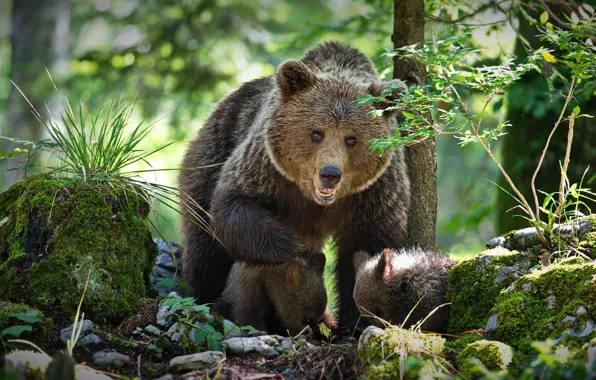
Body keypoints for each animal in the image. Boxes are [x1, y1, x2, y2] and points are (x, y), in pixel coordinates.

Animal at [178, 40, 410, 334]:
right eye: (316, 133)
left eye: (351, 139)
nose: (330, 174)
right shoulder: (267, 169)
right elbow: (234, 206)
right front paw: (293, 244)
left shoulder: (374, 193)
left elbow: (368, 248)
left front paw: (354, 322)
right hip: (212, 151)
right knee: (204, 243)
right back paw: (201, 295)